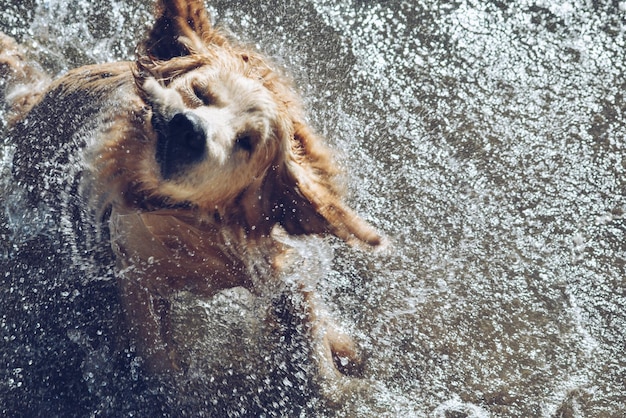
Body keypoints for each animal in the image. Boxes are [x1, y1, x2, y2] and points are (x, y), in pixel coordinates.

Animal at [0, 0, 382, 380]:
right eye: (199, 93)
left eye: (246, 141)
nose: (189, 129)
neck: (194, 224)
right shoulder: (136, 269)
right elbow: (159, 359)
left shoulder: (272, 264)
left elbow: (312, 345)